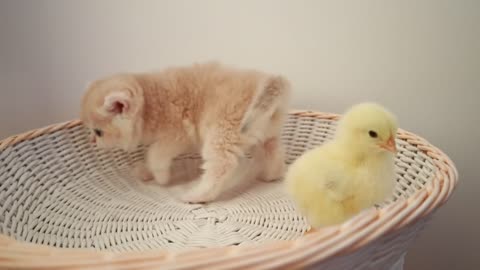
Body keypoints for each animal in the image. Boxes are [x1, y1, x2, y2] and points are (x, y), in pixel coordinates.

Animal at [81, 61, 290, 202]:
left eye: (98, 132)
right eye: (91, 131)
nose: (92, 141)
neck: (149, 102)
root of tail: (269, 81)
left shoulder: (175, 137)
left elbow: (154, 155)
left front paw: (161, 177)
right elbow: (150, 157)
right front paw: (146, 172)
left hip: (222, 135)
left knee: (221, 166)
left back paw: (197, 195)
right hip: (262, 134)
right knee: (275, 153)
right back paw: (270, 175)